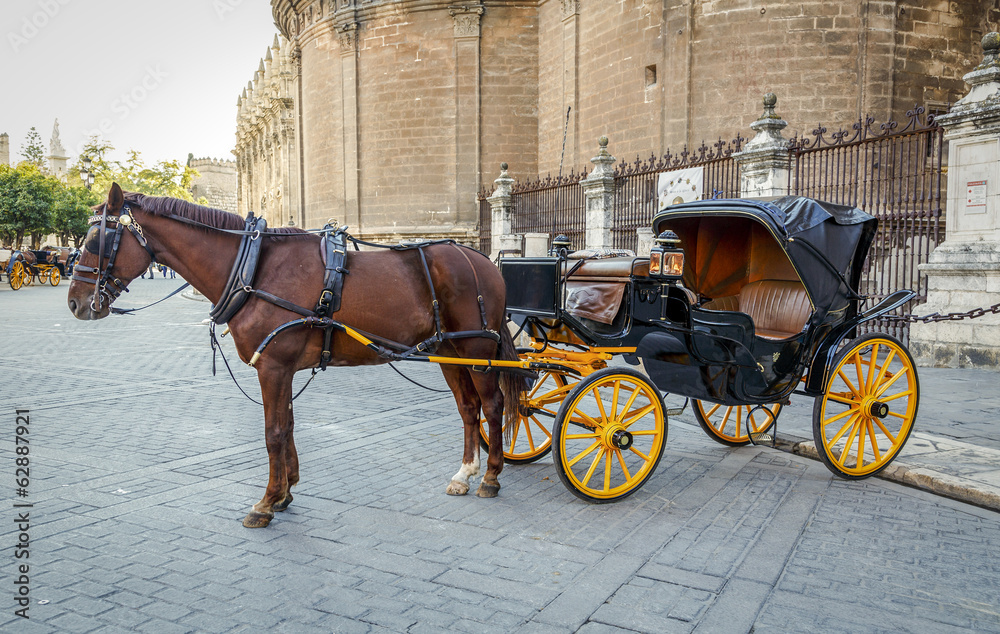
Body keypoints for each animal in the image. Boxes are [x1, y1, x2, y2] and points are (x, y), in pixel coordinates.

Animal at [68, 184, 524, 528]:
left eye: (94, 240)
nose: (75, 302)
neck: (254, 269)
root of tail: (480, 257)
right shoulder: (281, 368)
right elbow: (285, 427)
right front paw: (286, 493)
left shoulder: (272, 367)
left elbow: (272, 433)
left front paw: (266, 502)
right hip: (448, 350)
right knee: (468, 408)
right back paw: (465, 473)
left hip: (478, 350)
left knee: (493, 405)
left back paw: (491, 476)